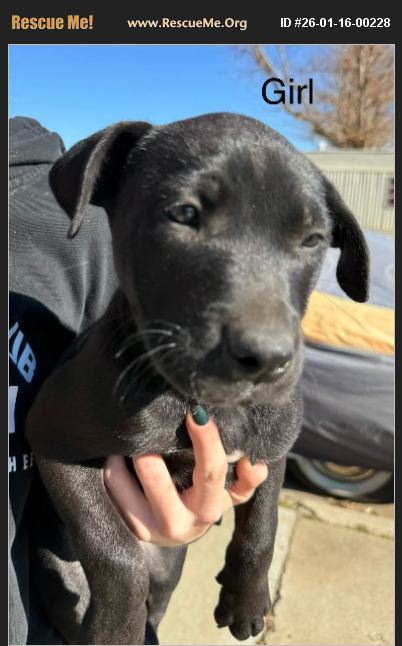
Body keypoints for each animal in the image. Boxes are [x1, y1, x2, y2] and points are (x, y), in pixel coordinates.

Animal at [25, 112, 369, 645]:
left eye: (313, 240)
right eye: (184, 214)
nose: (267, 359)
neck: (208, 404)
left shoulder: (272, 447)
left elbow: (263, 525)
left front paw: (246, 600)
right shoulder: (52, 439)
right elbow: (115, 553)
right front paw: (116, 629)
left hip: (171, 564)